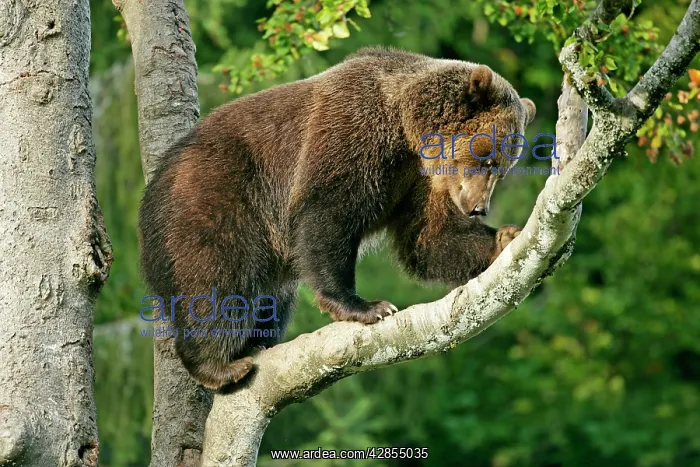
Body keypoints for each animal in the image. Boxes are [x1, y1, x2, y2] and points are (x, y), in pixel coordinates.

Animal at [138, 47, 536, 390]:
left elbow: (429, 240)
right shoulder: (352, 133)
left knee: (272, 296)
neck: (407, 130)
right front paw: (366, 307)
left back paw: (256, 342)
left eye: (502, 168)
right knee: (214, 280)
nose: (478, 207)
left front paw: (504, 238)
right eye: (488, 158)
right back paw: (219, 365)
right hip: (215, 199)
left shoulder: (418, 180)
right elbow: (328, 215)